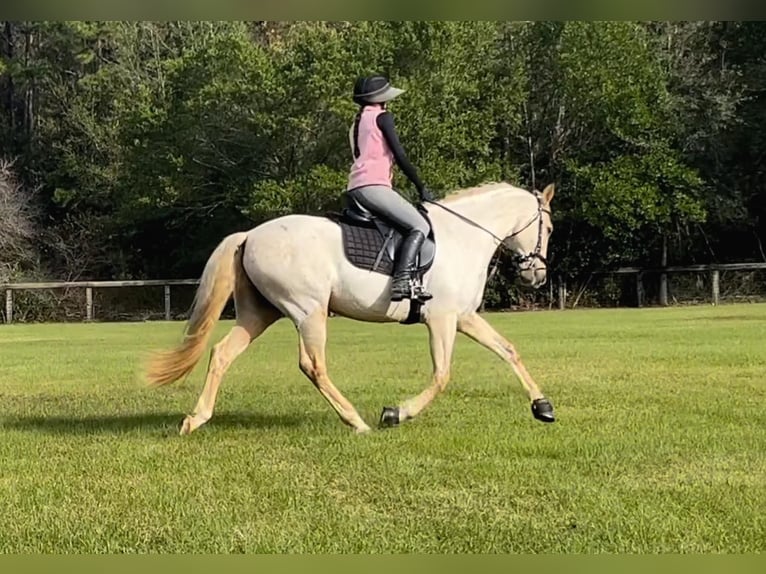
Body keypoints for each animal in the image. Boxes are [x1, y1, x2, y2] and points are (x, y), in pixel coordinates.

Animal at [146, 182, 560, 434]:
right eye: (550, 229)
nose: (537, 276)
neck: (464, 238)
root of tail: (250, 235)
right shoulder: (442, 319)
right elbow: (442, 375)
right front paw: (396, 413)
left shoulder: (464, 318)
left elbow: (508, 351)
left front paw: (542, 407)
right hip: (308, 311)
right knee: (312, 365)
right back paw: (356, 421)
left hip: (259, 314)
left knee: (222, 353)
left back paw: (196, 419)